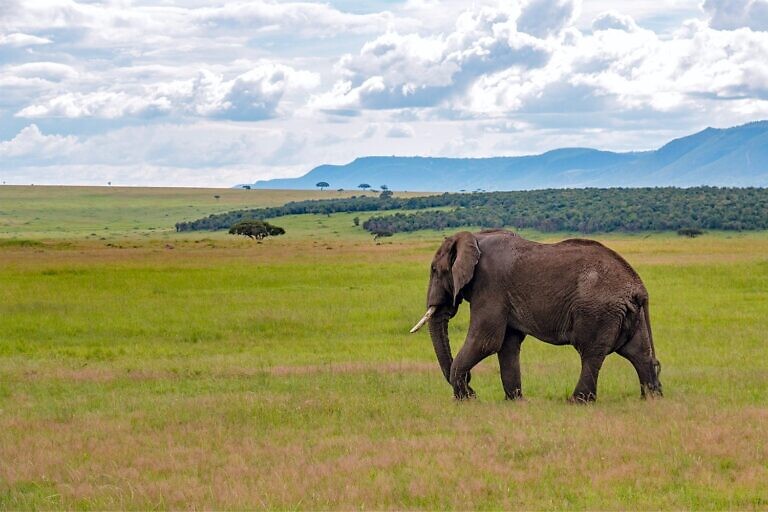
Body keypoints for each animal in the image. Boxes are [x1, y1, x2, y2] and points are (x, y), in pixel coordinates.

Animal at [410, 229, 662, 402]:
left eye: (434, 270)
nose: (472, 386)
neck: (474, 238)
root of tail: (638, 287)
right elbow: (507, 344)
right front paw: (514, 400)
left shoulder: (490, 285)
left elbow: (486, 341)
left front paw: (466, 400)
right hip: (631, 314)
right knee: (638, 353)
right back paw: (651, 400)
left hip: (598, 311)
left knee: (591, 353)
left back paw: (576, 402)